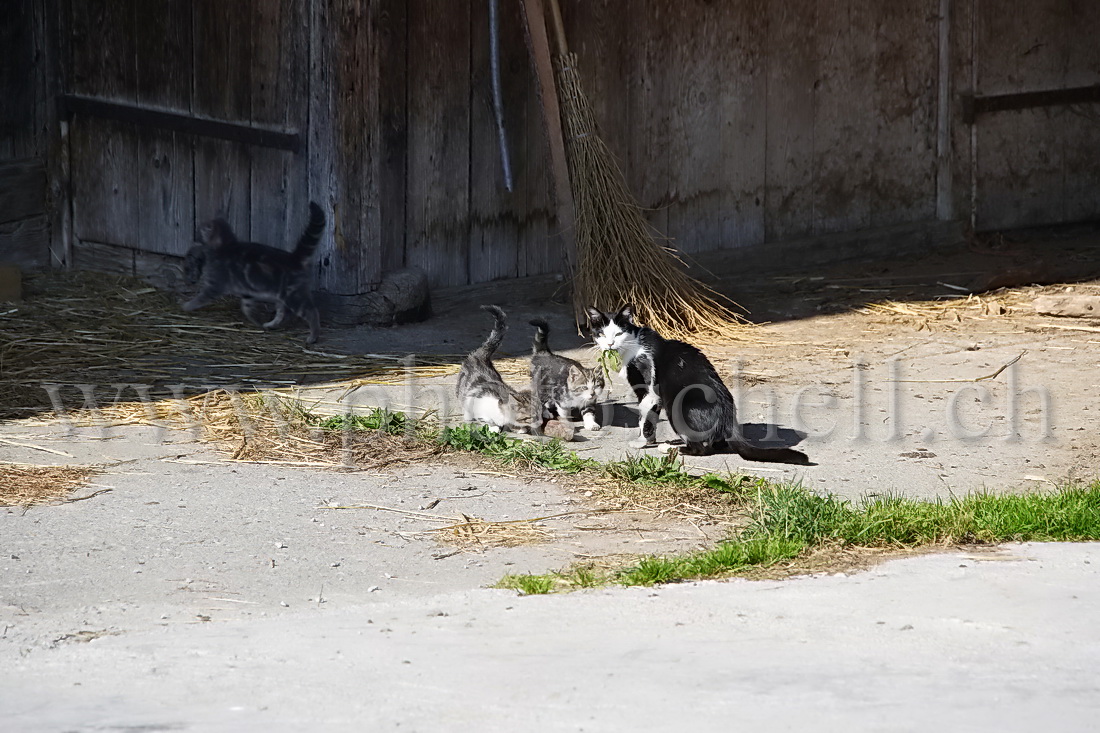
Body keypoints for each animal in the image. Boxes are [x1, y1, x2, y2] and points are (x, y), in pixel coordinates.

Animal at [180, 200, 323, 343]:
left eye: (199, 230)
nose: (195, 236)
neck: (225, 245)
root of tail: (295, 258)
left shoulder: (214, 285)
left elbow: (200, 298)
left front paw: (186, 305)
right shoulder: (246, 292)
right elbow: (246, 308)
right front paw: (256, 321)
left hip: (293, 296)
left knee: (312, 312)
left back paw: (313, 336)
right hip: (282, 296)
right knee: (283, 313)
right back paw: (271, 324)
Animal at [455, 303, 536, 431]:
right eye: (530, 417)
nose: (540, 422)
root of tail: (479, 355)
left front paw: (517, 428)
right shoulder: (479, 408)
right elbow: (488, 422)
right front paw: (494, 428)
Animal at [585, 301, 809, 462]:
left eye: (618, 333)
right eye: (601, 334)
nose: (610, 344)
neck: (632, 346)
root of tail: (729, 421)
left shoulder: (649, 391)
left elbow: (644, 418)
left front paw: (641, 441)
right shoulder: (655, 397)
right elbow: (652, 417)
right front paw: (649, 439)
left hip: (677, 406)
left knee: (702, 449)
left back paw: (676, 448)